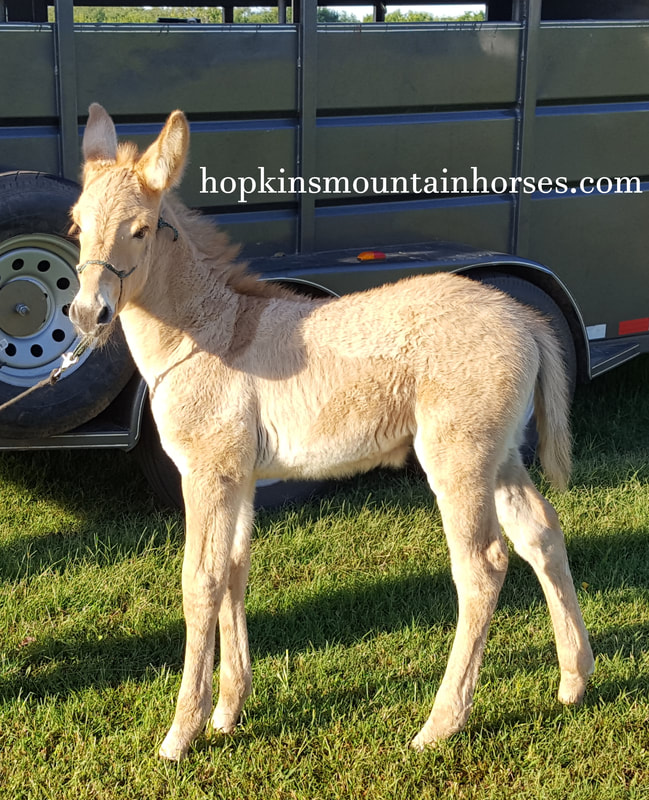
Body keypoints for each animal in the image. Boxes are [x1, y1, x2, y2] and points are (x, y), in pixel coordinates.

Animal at [69, 104, 594, 761]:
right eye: (75, 227)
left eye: (140, 229)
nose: (87, 313)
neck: (212, 333)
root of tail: (525, 319)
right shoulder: (241, 476)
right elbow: (235, 570)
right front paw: (229, 711)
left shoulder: (207, 471)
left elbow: (200, 582)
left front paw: (181, 733)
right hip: (500, 456)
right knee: (540, 533)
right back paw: (574, 679)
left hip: (458, 457)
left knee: (482, 565)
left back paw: (441, 723)